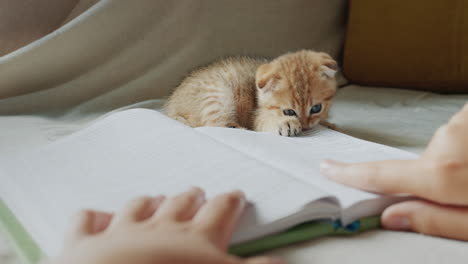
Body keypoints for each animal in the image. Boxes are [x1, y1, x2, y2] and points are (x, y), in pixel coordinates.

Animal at [165, 49, 336, 136]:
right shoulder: (256, 115)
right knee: (216, 124)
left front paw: (330, 124)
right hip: (217, 93)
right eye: (289, 112)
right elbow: (263, 121)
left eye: (316, 108)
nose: (306, 127)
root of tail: (171, 108)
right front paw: (285, 123)